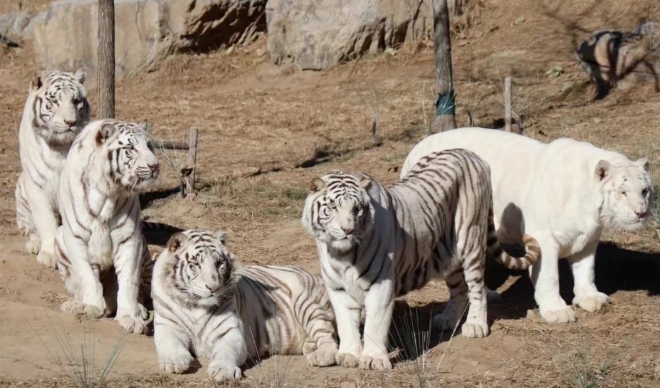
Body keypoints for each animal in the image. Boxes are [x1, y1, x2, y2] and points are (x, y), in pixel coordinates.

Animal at [15, 69, 89, 268]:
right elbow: (45, 220)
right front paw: (49, 254)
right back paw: (34, 244)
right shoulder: (37, 185)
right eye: (54, 101)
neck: (59, 146)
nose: (71, 122)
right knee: (30, 229)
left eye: (76, 101)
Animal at [54, 119, 160, 334]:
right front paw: (92, 306)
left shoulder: (130, 238)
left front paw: (131, 317)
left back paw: (140, 310)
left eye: (149, 146)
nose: (154, 166)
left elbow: (129, 282)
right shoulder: (76, 237)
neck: (110, 191)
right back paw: (75, 304)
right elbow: (87, 274)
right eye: (130, 148)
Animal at [153, 230, 340, 382]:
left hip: (307, 304)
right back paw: (310, 346)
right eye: (195, 265)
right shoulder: (166, 325)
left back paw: (321, 354)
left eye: (219, 264)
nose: (214, 288)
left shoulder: (229, 332)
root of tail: (314, 275)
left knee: (328, 335)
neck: (195, 305)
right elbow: (169, 342)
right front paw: (174, 362)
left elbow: (226, 352)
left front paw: (223, 371)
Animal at [302, 148, 540, 370]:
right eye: (332, 207)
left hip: (470, 237)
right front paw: (349, 355)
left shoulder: (381, 285)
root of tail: (470, 154)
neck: (341, 254)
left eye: (357, 209)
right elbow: (346, 324)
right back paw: (447, 320)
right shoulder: (338, 289)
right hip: (447, 253)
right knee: (460, 290)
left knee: (477, 288)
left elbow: (374, 325)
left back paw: (475, 325)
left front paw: (373, 359)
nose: (348, 230)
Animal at [402, 128, 656, 324]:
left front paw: (590, 298)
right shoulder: (544, 238)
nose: (641, 213)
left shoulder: (587, 239)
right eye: (623, 192)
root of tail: (415, 149)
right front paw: (557, 311)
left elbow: (586, 270)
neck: (591, 209)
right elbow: (549, 276)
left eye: (644, 190)